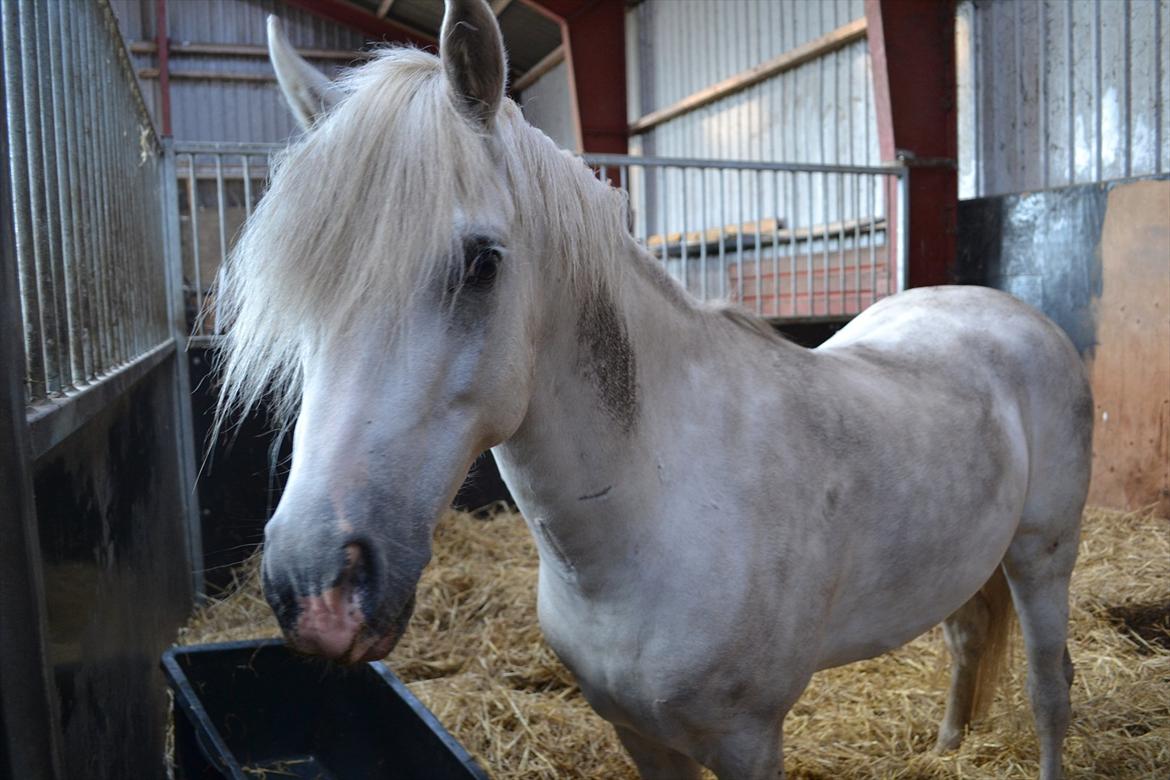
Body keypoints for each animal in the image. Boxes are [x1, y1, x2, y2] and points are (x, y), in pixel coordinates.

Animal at [217, 3, 1092, 777]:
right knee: (969, 640)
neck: (653, 508)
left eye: (482, 263)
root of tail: (1003, 310)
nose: (317, 587)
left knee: (1050, 690)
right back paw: (946, 748)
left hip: (1042, 557)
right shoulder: (637, 734)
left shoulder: (747, 740)